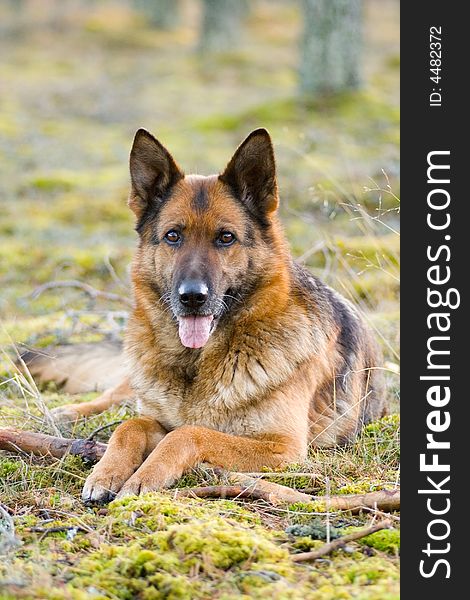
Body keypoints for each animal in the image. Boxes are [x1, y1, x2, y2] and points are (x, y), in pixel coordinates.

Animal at [24, 127, 386, 502]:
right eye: (173, 236)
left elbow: (188, 433)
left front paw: (144, 476)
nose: (192, 298)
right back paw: (70, 412)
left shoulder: (282, 447)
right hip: (136, 380)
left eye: (226, 237)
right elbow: (130, 425)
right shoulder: (155, 417)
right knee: (117, 396)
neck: (196, 364)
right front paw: (105, 472)